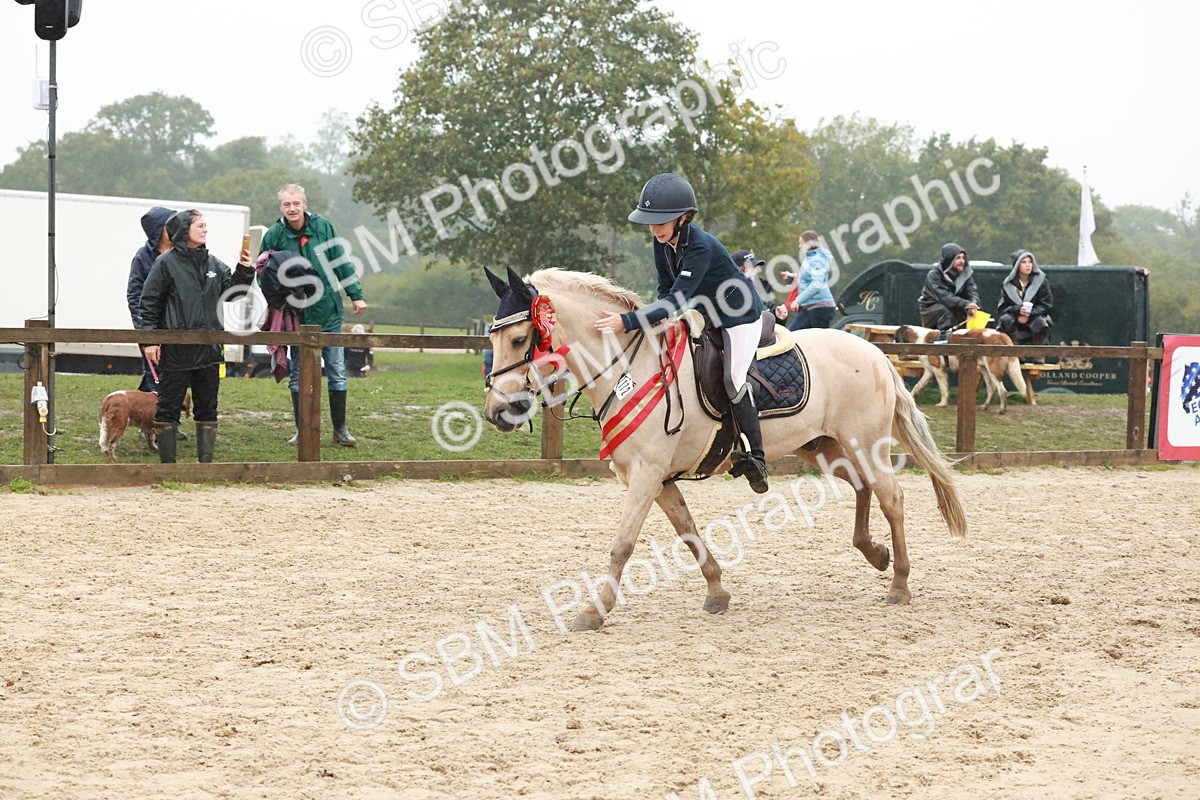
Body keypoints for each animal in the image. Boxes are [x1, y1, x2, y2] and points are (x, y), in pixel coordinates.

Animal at [483, 267, 966, 631]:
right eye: (492, 340)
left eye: (521, 339)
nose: (497, 413)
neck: (629, 368)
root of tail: (875, 352)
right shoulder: (658, 479)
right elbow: (688, 532)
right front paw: (717, 592)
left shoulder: (645, 474)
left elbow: (622, 544)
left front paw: (593, 610)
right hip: (825, 448)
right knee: (863, 488)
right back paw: (875, 552)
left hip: (863, 444)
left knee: (892, 497)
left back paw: (899, 584)